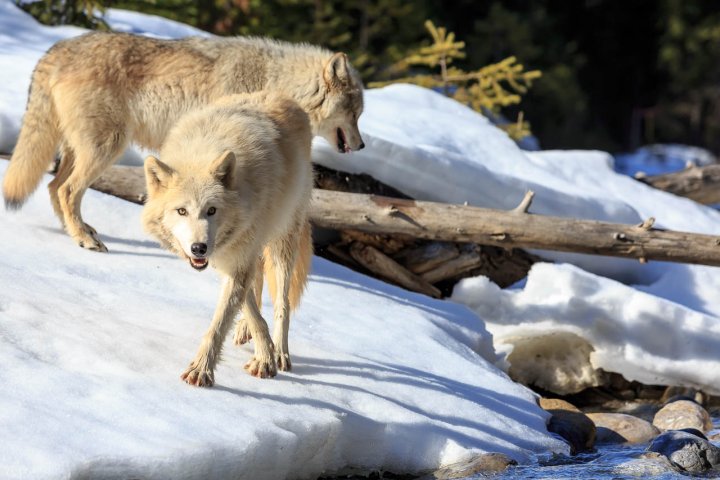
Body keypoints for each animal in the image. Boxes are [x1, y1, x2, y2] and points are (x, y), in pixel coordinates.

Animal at [3, 32, 363, 252]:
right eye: (356, 113)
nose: (361, 147)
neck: (274, 81)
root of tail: (58, 47)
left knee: (54, 187)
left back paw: (78, 233)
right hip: (106, 148)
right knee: (65, 190)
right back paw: (85, 239)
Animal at [142, 92, 313, 386]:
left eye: (212, 210)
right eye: (182, 211)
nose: (199, 248)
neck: (200, 155)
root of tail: (284, 97)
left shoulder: (237, 258)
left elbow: (220, 323)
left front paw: (201, 370)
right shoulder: (227, 258)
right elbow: (250, 308)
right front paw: (262, 350)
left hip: (282, 242)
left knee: (282, 302)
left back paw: (281, 351)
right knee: (257, 284)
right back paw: (250, 333)